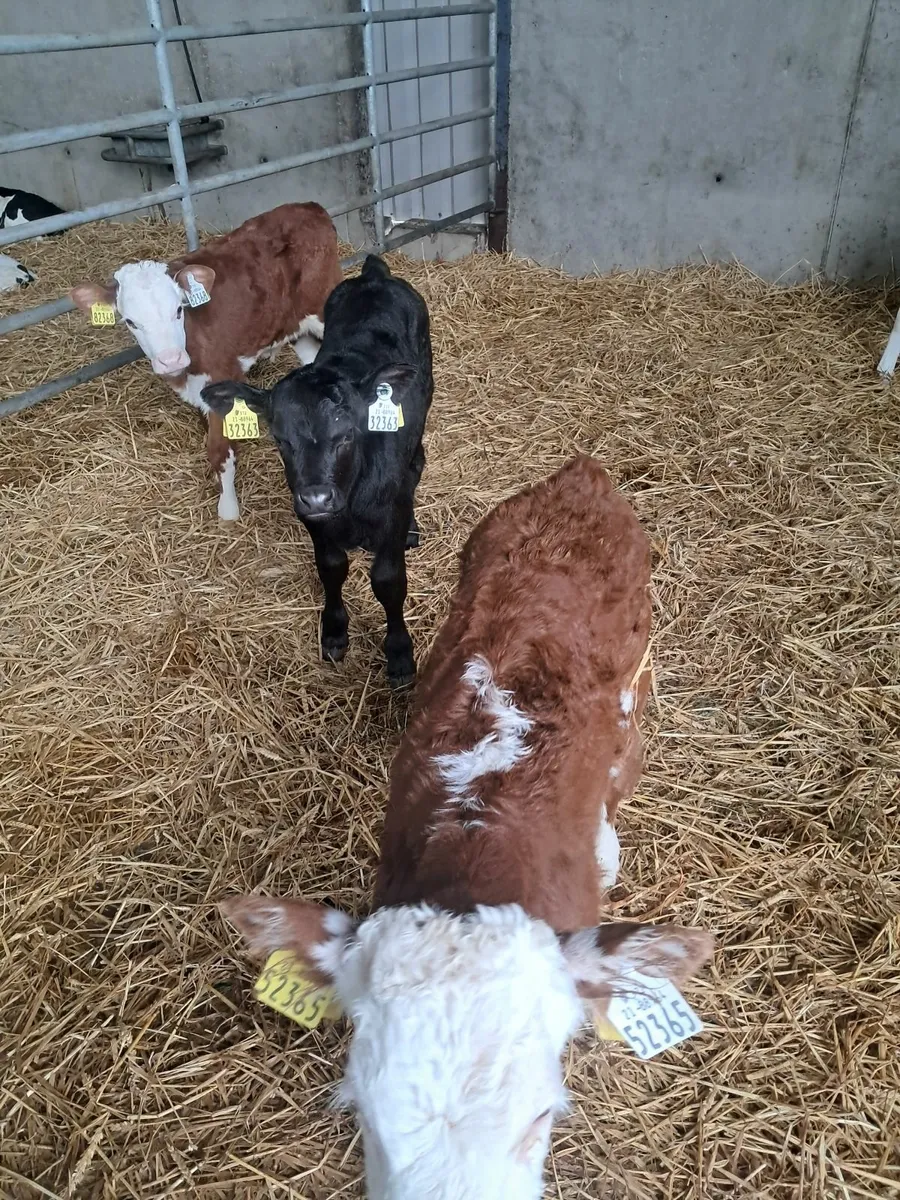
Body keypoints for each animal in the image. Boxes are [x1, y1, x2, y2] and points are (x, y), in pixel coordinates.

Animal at [69, 202, 342, 521]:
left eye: (179, 310)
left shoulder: (223, 378)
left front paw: (228, 511)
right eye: (130, 322)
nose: (170, 359)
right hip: (294, 326)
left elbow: (219, 451)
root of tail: (309, 206)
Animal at [201, 254, 432, 686]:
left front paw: (398, 654)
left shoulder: (389, 517)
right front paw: (335, 632)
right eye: (280, 439)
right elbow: (331, 568)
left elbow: (388, 581)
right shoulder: (314, 522)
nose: (317, 496)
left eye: (348, 434)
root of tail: (373, 277)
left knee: (418, 462)